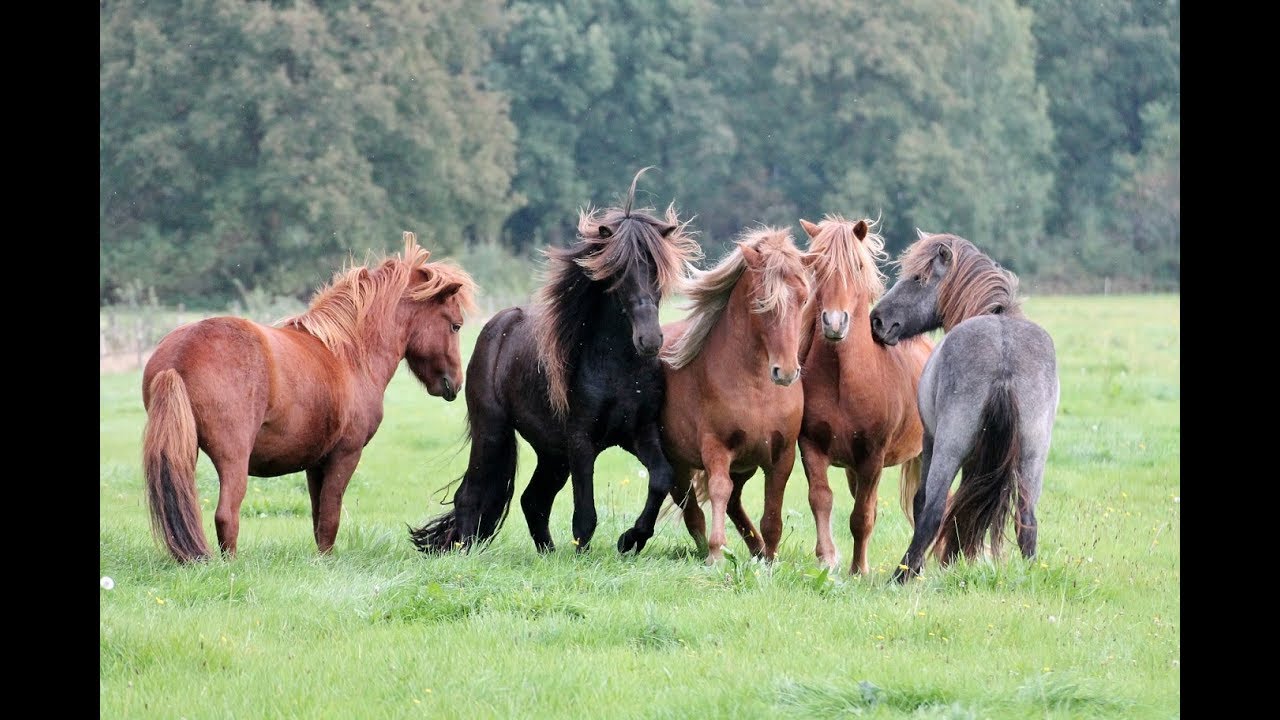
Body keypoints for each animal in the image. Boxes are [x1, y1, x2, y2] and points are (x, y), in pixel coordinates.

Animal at [141, 232, 478, 563]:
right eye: (455, 325)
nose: (454, 383)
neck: (349, 353)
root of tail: (178, 356)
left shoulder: (316, 463)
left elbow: (318, 518)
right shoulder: (345, 455)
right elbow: (330, 518)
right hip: (233, 458)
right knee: (226, 515)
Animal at [408, 168, 701, 555]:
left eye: (656, 270)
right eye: (618, 272)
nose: (650, 340)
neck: (617, 369)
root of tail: (498, 325)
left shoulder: (639, 432)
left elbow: (661, 478)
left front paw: (630, 540)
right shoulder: (580, 441)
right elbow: (585, 513)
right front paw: (585, 554)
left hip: (551, 452)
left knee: (532, 500)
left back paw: (547, 553)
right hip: (494, 432)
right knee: (470, 496)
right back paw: (467, 552)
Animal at [659, 226, 811, 564]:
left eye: (804, 298)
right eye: (762, 301)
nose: (786, 372)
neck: (756, 387)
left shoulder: (781, 455)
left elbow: (772, 512)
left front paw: (770, 559)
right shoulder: (716, 447)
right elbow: (718, 489)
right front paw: (717, 553)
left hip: (745, 466)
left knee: (733, 503)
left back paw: (757, 550)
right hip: (677, 463)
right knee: (694, 509)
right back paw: (706, 549)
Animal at [795, 216, 934, 575]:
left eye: (857, 266)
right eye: (816, 267)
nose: (834, 322)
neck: (844, 382)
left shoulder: (873, 456)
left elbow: (863, 515)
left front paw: (859, 570)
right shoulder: (811, 446)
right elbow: (820, 499)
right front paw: (828, 558)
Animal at [869, 230, 1059, 582]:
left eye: (918, 278)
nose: (879, 321)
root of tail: (1004, 355)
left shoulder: (930, 440)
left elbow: (923, 502)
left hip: (950, 445)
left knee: (932, 510)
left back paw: (902, 576)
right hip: (1032, 453)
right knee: (1027, 519)